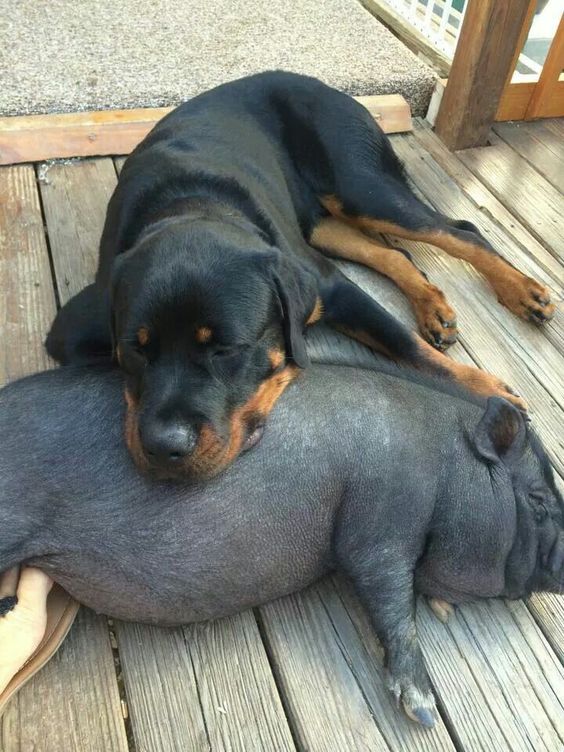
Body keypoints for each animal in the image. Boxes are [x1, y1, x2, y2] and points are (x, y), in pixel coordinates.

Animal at [46, 72, 552, 482]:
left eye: (226, 350)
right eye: (136, 349)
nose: (163, 447)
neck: (189, 204)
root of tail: (326, 86)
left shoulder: (332, 289)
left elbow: (408, 348)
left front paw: (490, 392)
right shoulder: (72, 328)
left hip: (358, 185)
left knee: (458, 231)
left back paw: (522, 291)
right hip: (317, 222)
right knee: (393, 253)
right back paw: (434, 309)